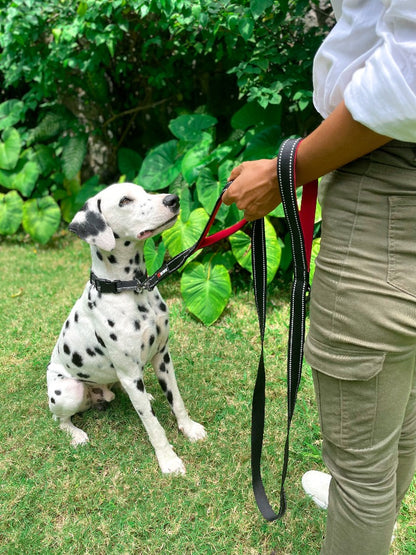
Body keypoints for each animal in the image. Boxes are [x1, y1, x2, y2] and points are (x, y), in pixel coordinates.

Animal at [47, 181, 206, 474]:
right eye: (124, 201)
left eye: (144, 191)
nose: (173, 199)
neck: (132, 289)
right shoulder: (131, 375)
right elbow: (153, 426)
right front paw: (169, 461)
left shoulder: (163, 357)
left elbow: (177, 401)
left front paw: (189, 429)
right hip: (69, 392)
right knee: (60, 420)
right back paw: (76, 434)